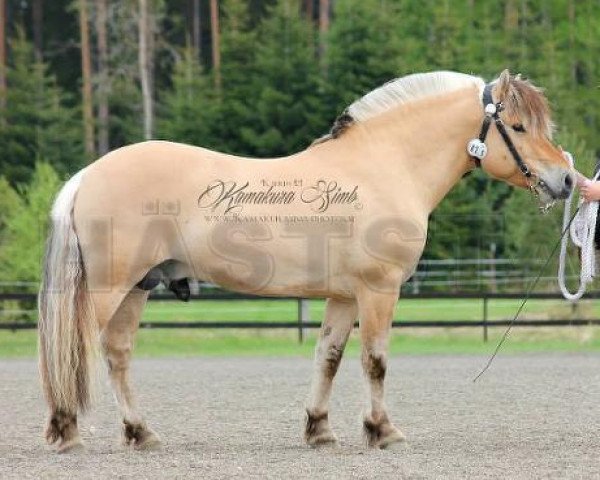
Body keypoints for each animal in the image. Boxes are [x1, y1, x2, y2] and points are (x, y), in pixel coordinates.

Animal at [36, 69, 572, 452]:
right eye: (518, 126)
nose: (566, 180)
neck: (383, 166)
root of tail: (87, 175)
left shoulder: (343, 297)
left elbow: (328, 358)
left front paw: (319, 430)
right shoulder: (379, 290)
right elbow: (376, 360)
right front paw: (383, 431)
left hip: (138, 289)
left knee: (117, 354)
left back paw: (141, 433)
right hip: (108, 289)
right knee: (73, 350)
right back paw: (66, 432)